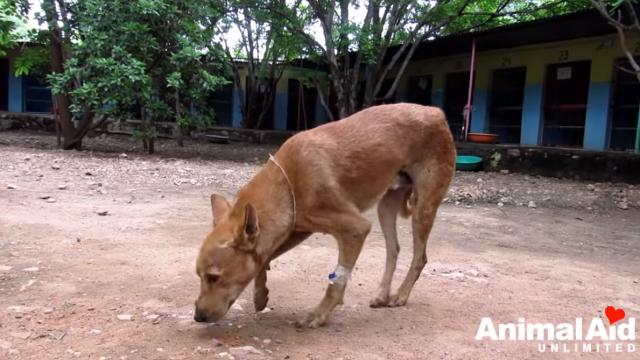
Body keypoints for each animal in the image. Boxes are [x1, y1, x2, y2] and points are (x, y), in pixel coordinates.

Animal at [194, 102, 456, 328]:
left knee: (419, 257)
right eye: (199, 276)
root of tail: (436, 112)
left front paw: (319, 314)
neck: (288, 182)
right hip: (386, 207)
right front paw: (260, 295)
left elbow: (335, 282)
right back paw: (382, 294)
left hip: (423, 208)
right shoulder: (296, 230)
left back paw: (400, 295)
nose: (197, 316)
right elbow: (265, 258)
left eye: (214, 277)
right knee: (394, 250)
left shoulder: (355, 229)